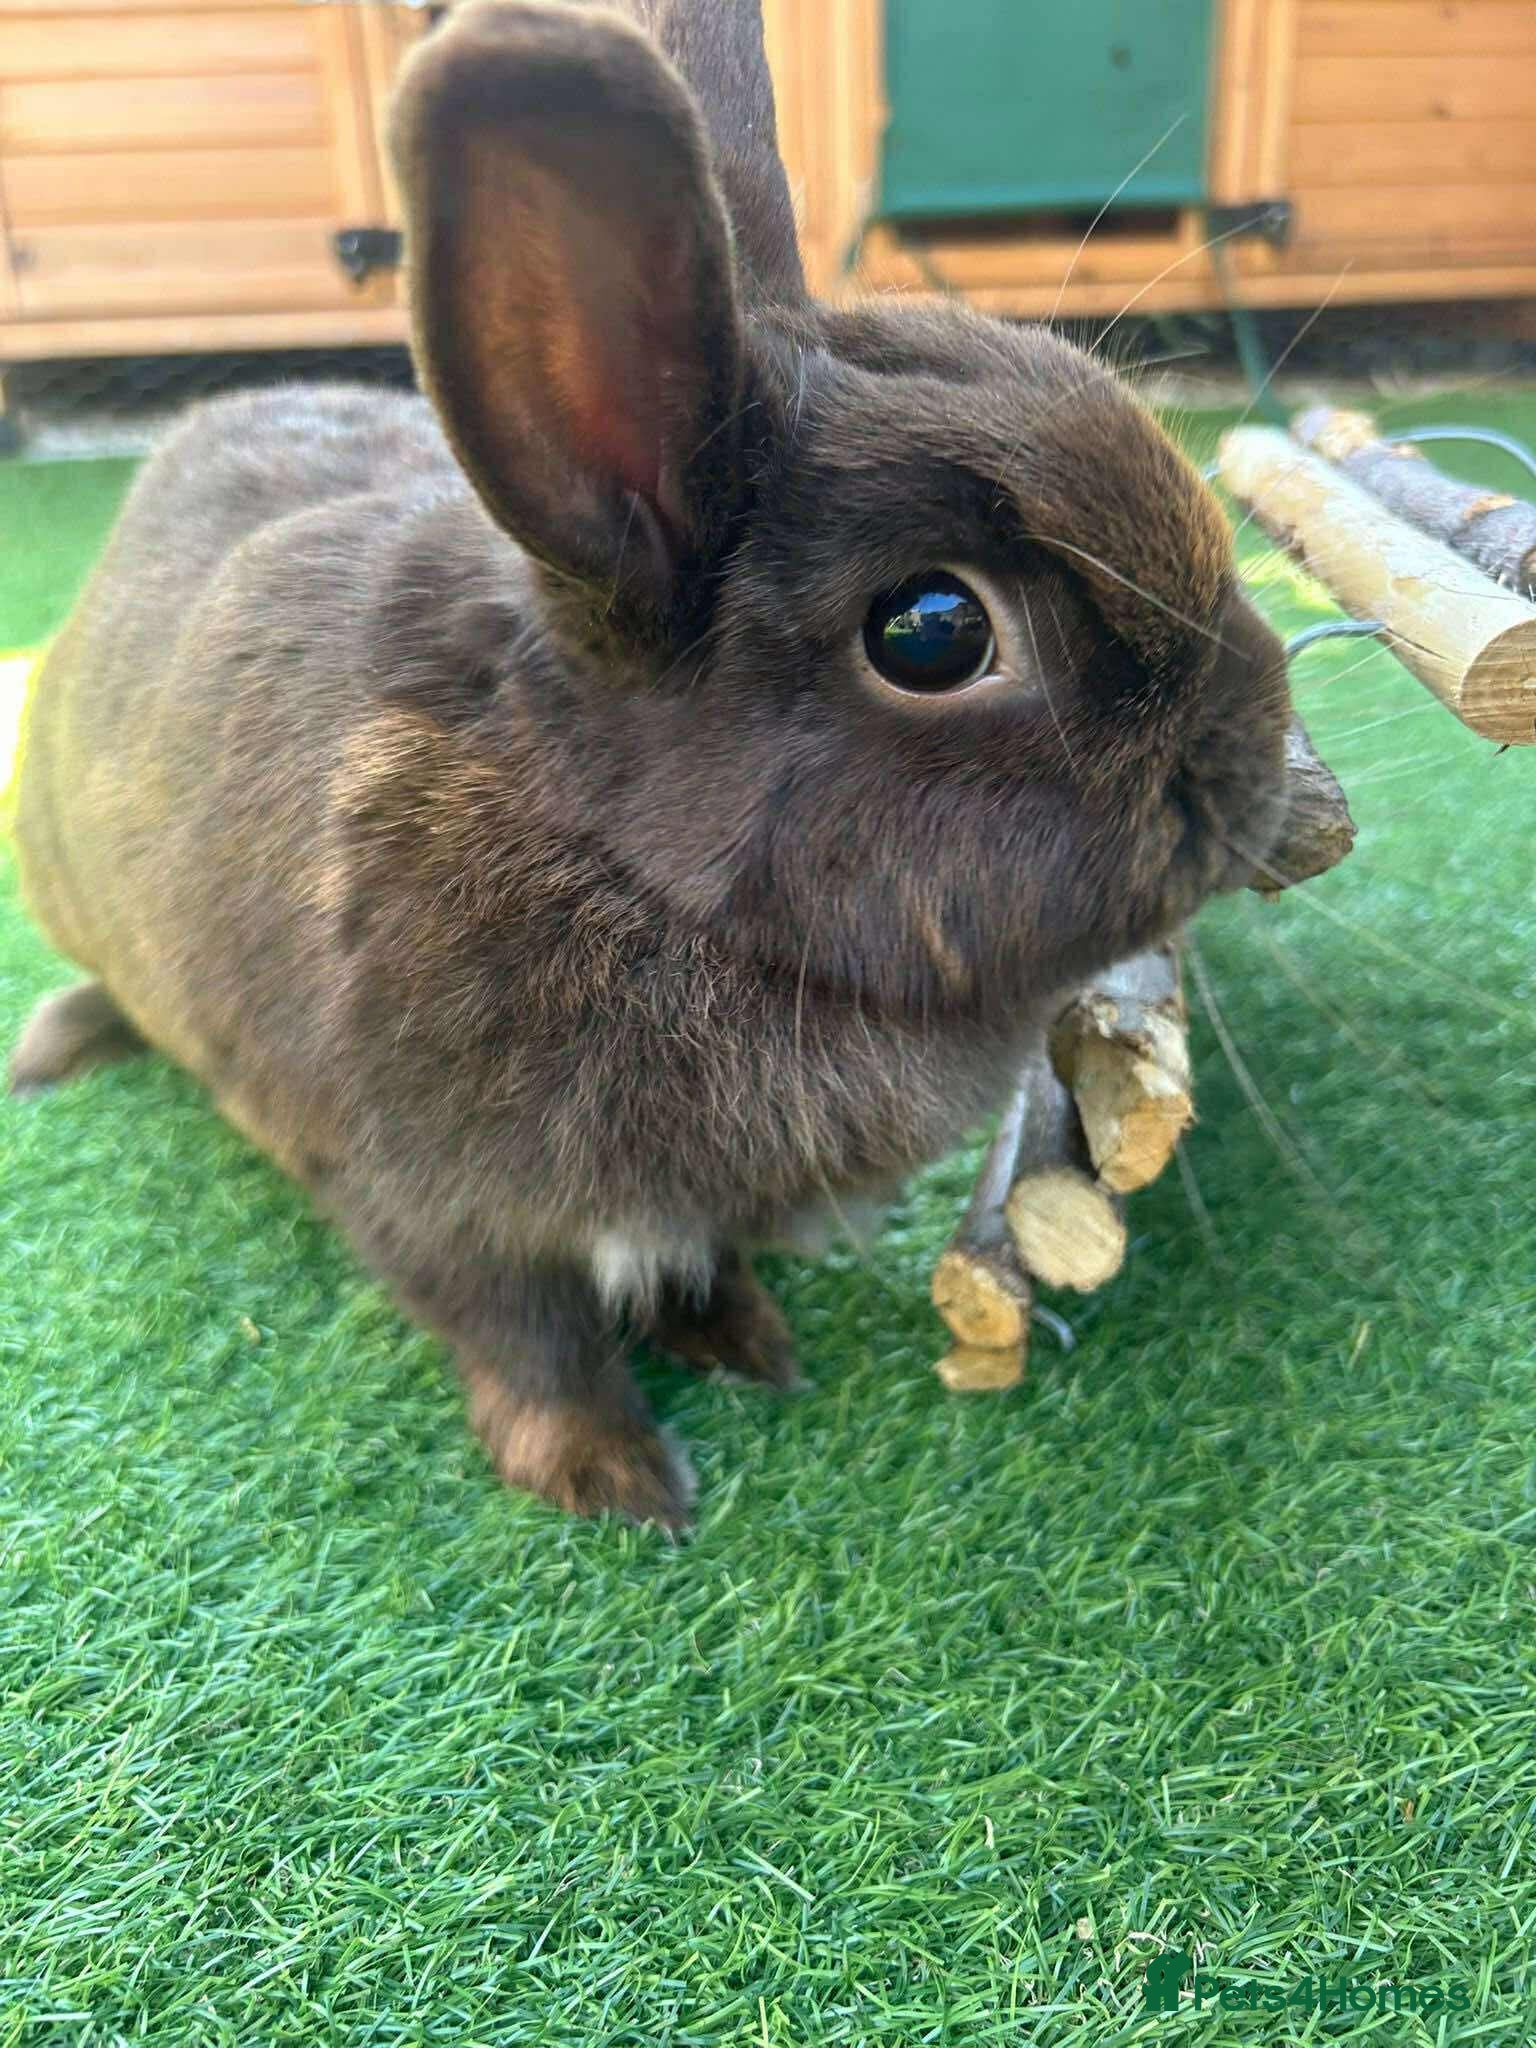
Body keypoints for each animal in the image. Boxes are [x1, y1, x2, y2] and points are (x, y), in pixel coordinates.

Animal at [10, 0, 1292, 1528]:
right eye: (932, 632)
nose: (1263, 750)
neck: (625, 872)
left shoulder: (677, 1209)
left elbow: (691, 1266)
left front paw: (747, 1343)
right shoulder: (428, 1202)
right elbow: (531, 1340)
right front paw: (616, 1479)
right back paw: (57, 1045)